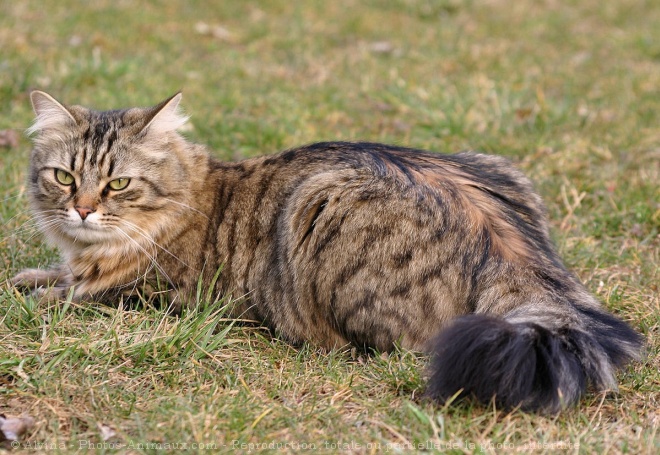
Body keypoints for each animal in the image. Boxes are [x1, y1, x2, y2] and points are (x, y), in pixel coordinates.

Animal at [10, 91, 640, 414]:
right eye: (64, 178)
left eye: (117, 185)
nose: (82, 209)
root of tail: (506, 242)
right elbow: (44, 277)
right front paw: (30, 277)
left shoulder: (152, 297)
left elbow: (64, 297)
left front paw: (35, 295)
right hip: (495, 162)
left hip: (322, 207)